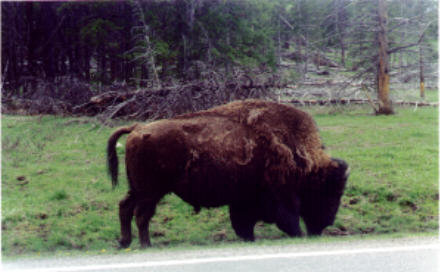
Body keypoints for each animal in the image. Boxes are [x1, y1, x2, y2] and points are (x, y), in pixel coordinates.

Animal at [106, 99, 348, 248]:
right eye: (331, 191)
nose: (326, 223)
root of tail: (137, 128)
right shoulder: (282, 196)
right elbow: (288, 219)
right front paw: (298, 235)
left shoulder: (243, 200)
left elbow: (243, 223)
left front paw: (249, 238)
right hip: (151, 192)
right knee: (141, 214)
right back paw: (146, 244)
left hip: (138, 189)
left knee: (125, 207)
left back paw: (125, 242)